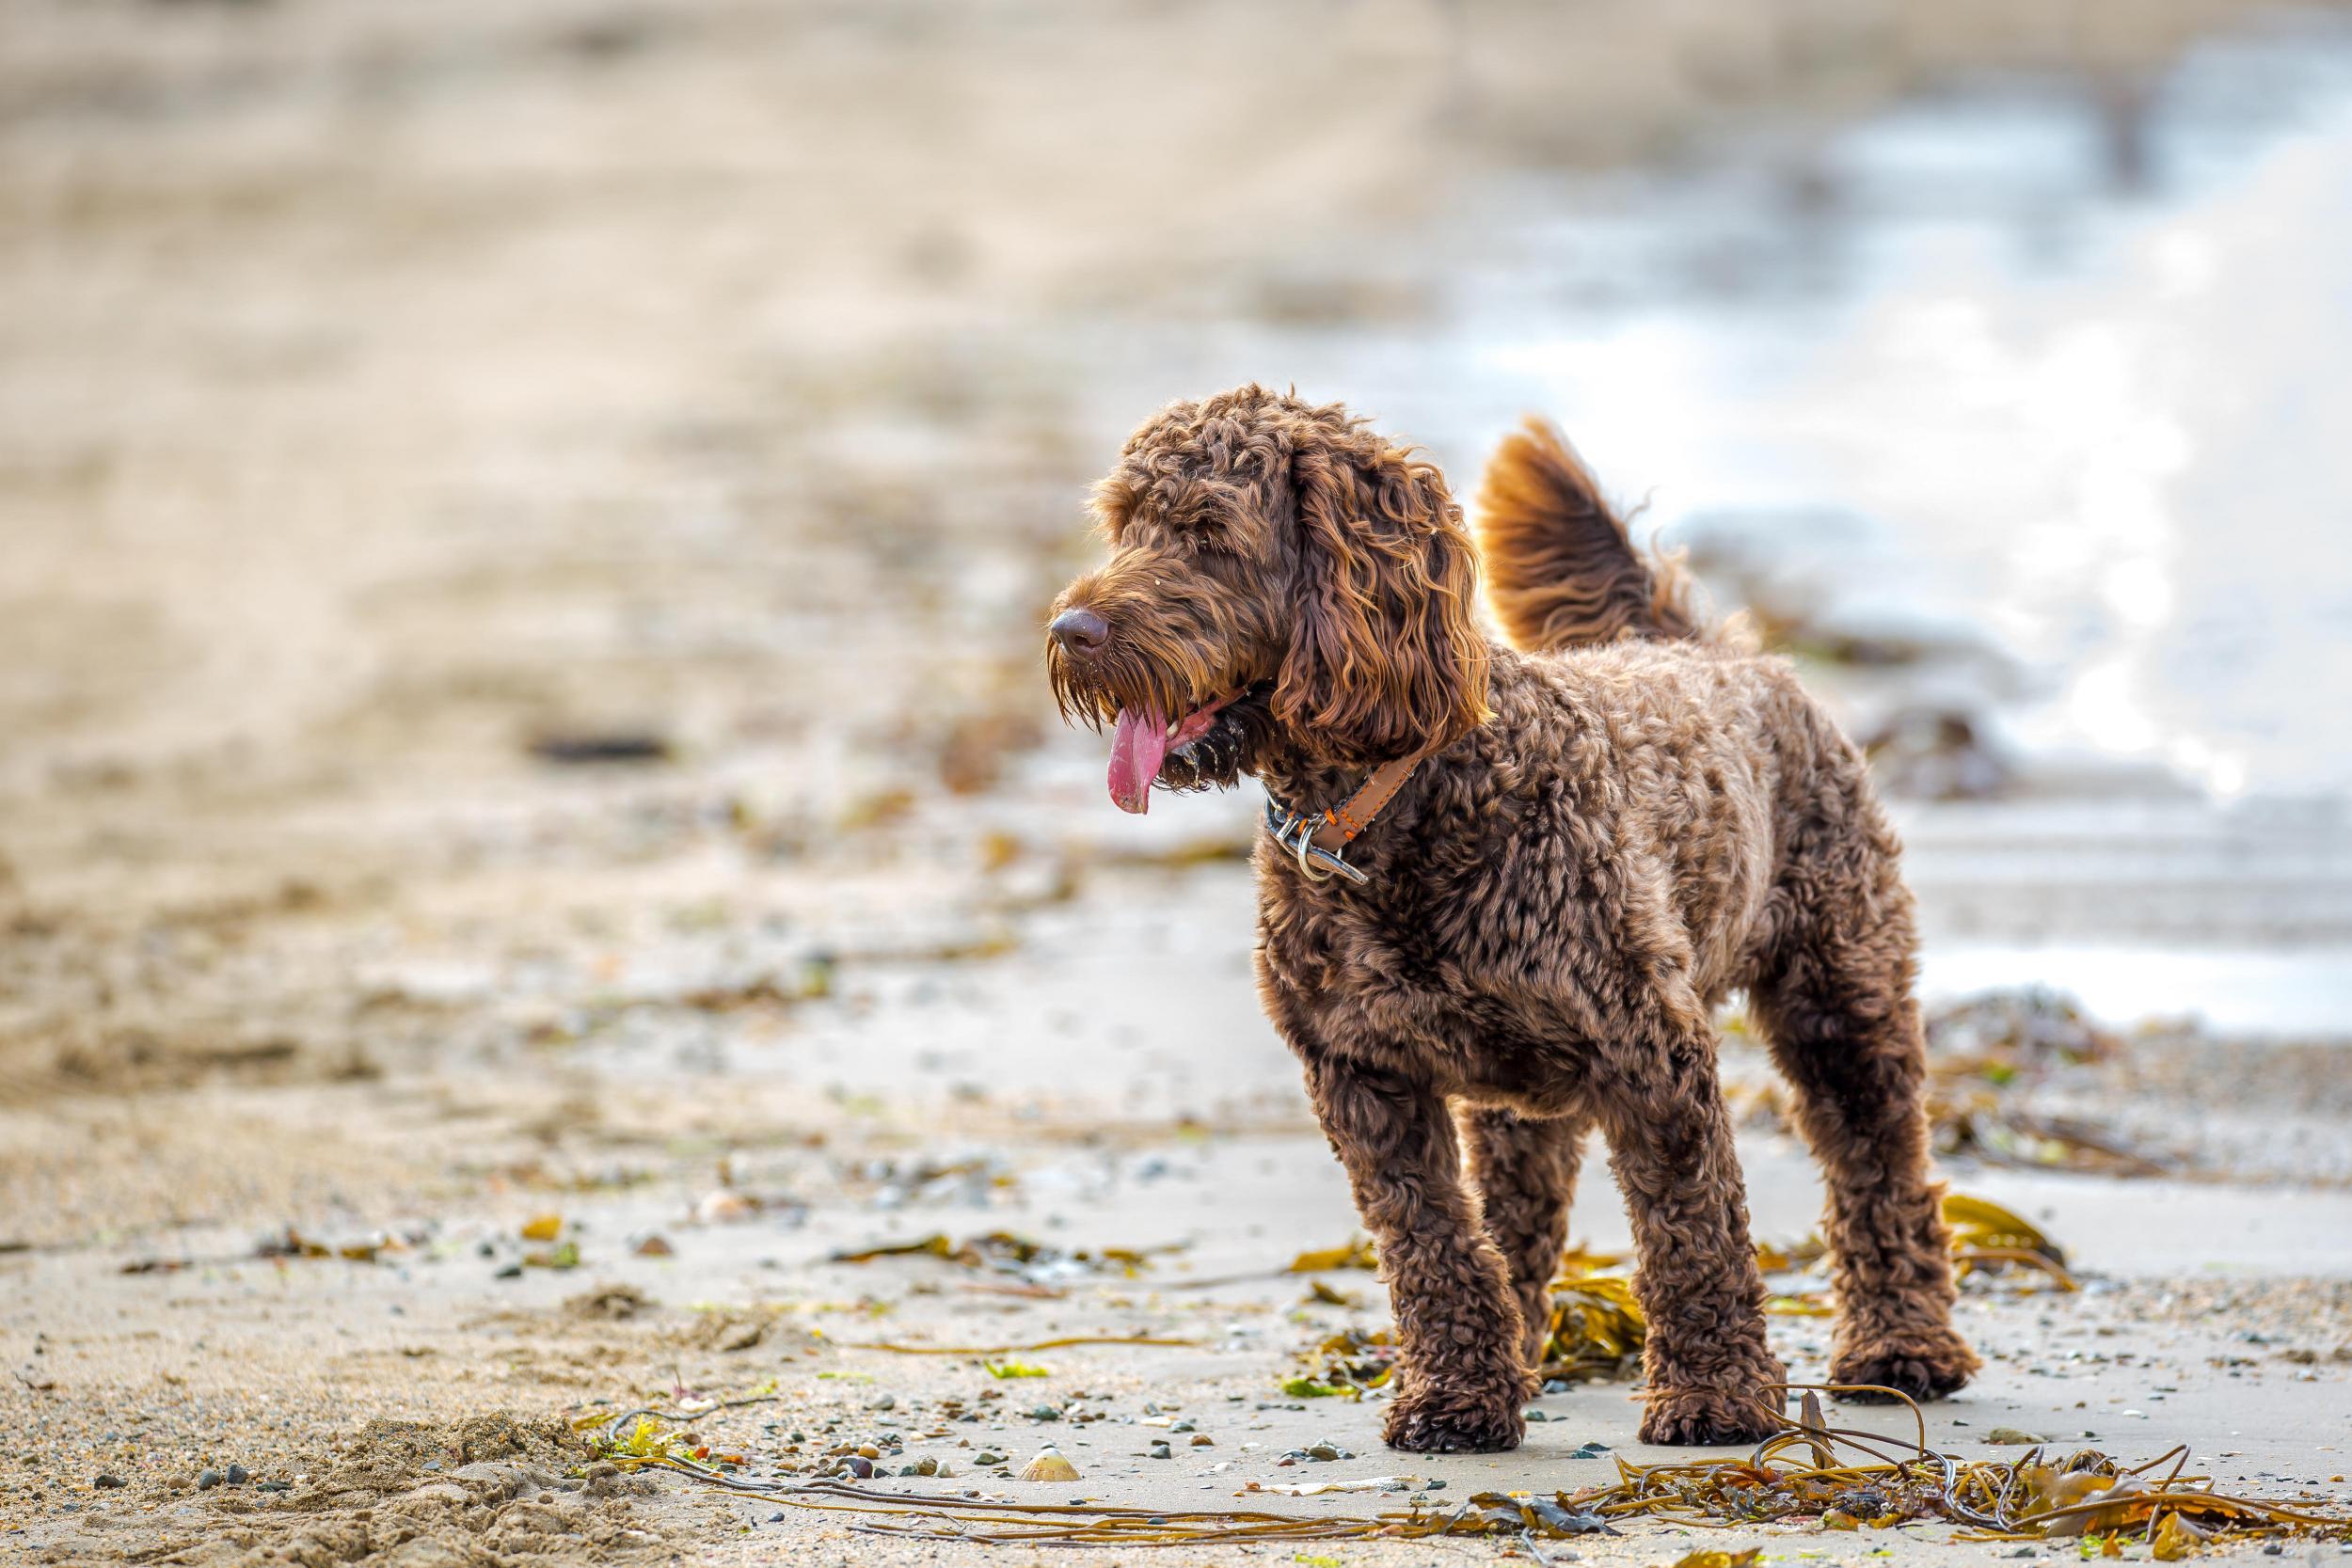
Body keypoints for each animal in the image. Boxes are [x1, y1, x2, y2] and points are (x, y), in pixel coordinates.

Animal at [1040, 383, 1976, 1457]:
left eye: (1207, 533)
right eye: (1124, 525)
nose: (1070, 628)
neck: (1388, 804)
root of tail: (1703, 649)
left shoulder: (1653, 1058)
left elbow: (1693, 1229)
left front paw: (1713, 1394)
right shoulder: (1362, 1077)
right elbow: (1434, 1242)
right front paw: (1454, 1392)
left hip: (1839, 997)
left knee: (1881, 1167)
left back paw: (1902, 1345)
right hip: (1517, 1086)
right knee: (1517, 1212)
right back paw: (1521, 1351)